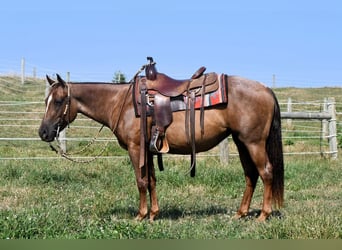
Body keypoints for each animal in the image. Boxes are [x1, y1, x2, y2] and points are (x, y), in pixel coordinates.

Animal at [38, 67, 284, 222]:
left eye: (58, 101)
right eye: (45, 101)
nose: (43, 132)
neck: (121, 103)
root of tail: (266, 89)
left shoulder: (135, 148)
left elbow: (140, 181)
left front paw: (140, 215)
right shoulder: (148, 150)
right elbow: (152, 181)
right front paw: (154, 213)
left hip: (254, 143)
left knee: (266, 172)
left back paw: (263, 215)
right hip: (242, 143)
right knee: (250, 175)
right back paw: (241, 213)